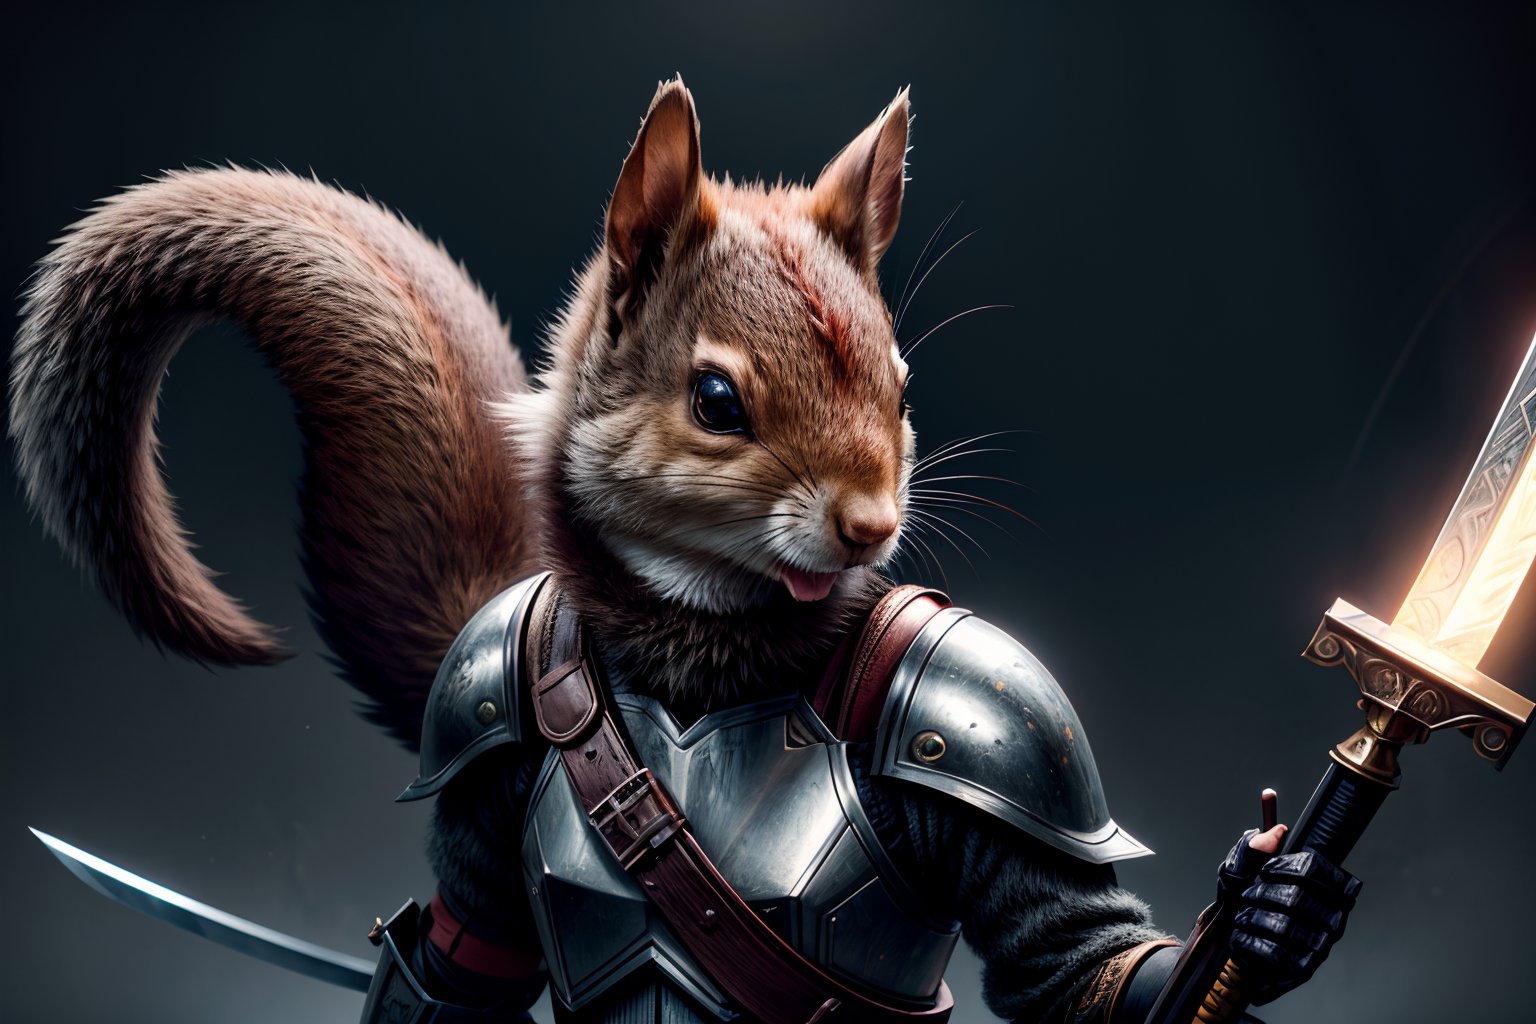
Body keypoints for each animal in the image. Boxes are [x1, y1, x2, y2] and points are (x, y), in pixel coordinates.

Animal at [10, 79, 1362, 1024]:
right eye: (716, 400)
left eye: (902, 387)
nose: (872, 526)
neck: (704, 640)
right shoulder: (484, 710)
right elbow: (463, 958)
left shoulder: (994, 731)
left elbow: (1077, 963)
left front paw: (1273, 910)